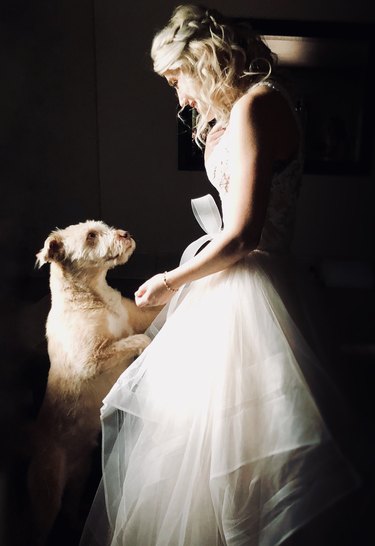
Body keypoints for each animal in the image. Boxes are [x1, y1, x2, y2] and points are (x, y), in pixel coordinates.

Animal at [27, 219, 160, 540]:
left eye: (103, 227)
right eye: (90, 236)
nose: (125, 234)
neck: (96, 296)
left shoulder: (137, 316)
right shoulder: (90, 360)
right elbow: (131, 341)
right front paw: (143, 347)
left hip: (80, 475)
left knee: (71, 507)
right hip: (46, 492)